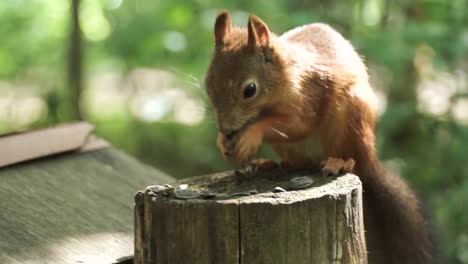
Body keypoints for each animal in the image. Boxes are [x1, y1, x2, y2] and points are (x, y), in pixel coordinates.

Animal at [205, 11, 436, 264]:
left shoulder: (310, 94)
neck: (285, 76)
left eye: (250, 90)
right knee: (297, 163)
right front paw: (222, 141)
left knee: (353, 159)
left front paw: (250, 136)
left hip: (352, 118)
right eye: (208, 85)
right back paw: (268, 164)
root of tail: (370, 160)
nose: (226, 129)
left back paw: (339, 162)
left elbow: (296, 125)